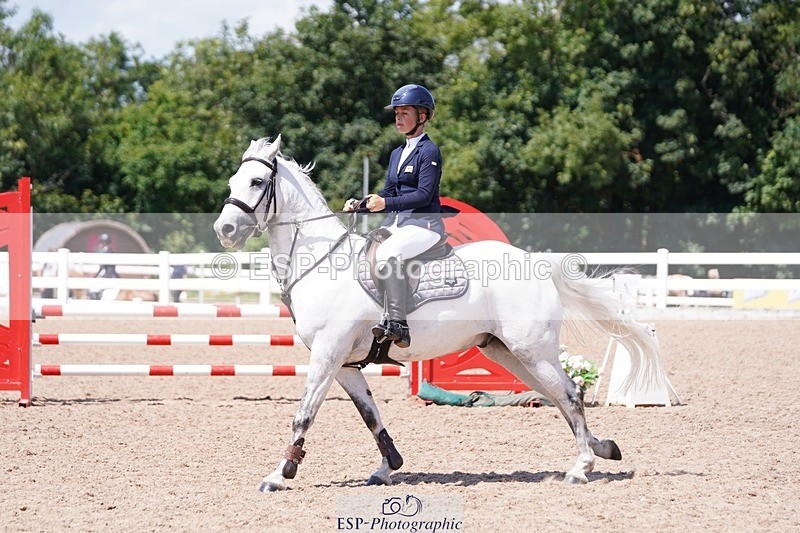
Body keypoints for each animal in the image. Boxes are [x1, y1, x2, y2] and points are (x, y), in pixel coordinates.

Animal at [213, 135, 662, 492]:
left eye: (257, 182)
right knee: (558, 396)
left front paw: (279, 474)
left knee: (569, 394)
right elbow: (370, 416)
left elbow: (303, 415)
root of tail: (535, 261)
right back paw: (602, 449)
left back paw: (582, 466)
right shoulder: (345, 364)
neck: (324, 262)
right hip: (507, 352)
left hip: (532, 350)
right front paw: (388, 467)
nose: (225, 230)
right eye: (234, 182)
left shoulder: (327, 354)